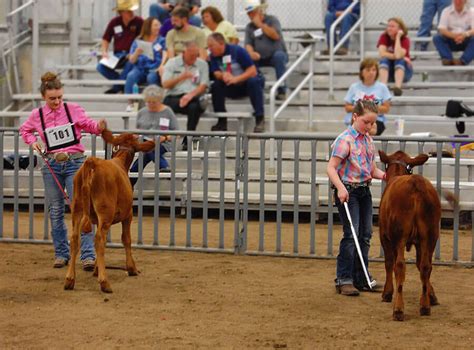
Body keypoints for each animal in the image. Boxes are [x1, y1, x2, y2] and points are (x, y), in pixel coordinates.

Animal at [64, 129, 154, 292]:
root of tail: (92, 162)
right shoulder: (128, 214)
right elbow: (126, 239)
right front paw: (131, 268)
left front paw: (96, 269)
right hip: (105, 212)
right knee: (100, 239)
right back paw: (104, 282)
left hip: (77, 208)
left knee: (75, 238)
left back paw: (69, 280)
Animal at [378, 150, 440, 320]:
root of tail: (416, 183)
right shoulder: (420, 242)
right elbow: (420, 264)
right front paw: (432, 295)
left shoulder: (384, 236)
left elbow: (388, 262)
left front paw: (387, 293)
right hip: (431, 234)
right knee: (426, 265)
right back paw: (424, 306)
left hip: (399, 235)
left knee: (399, 265)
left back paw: (398, 309)